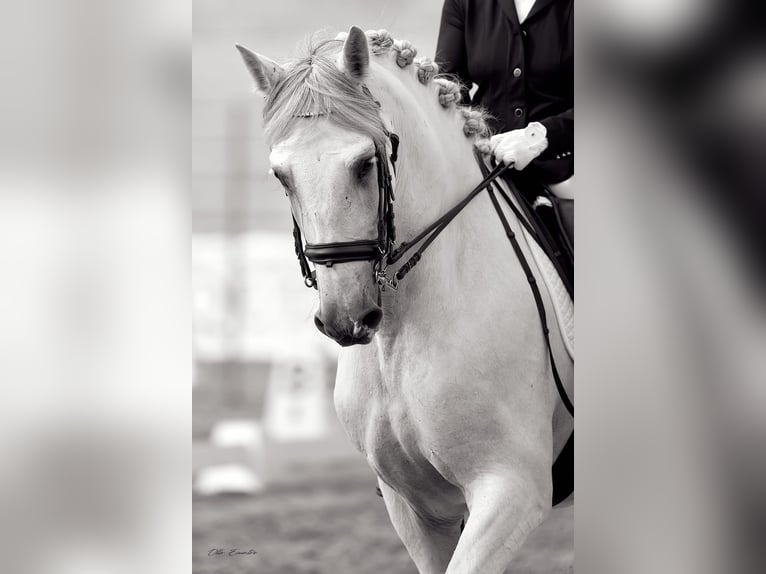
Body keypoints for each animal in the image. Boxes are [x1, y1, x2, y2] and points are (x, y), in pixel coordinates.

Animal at [236, 27, 574, 574]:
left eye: (365, 163)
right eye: (280, 176)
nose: (345, 319)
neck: (403, 332)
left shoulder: (511, 489)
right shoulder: (415, 505)